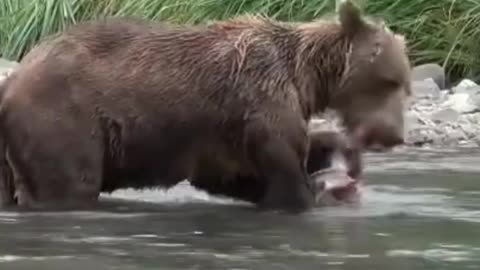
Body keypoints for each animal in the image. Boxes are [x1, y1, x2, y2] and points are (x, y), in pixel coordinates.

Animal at [0, 0, 412, 213]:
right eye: (390, 81)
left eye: (405, 87)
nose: (393, 135)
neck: (307, 77)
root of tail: (14, 79)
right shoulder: (261, 99)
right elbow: (284, 173)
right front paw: (317, 190)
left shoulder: (225, 132)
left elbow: (234, 175)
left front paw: (338, 153)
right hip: (63, 118)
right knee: (68, 184)